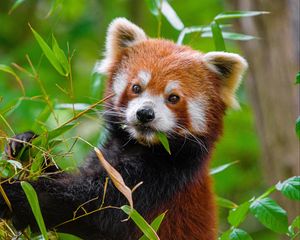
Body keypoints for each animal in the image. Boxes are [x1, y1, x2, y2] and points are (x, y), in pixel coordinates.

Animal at [0, 17, 246, 239]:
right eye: (136, 87)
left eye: (173, 98)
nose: (145, 114)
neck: (140, 146)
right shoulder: (105, 157)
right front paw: (26, 145)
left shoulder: (158, 180)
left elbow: (88, 206)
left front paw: (11, 191)